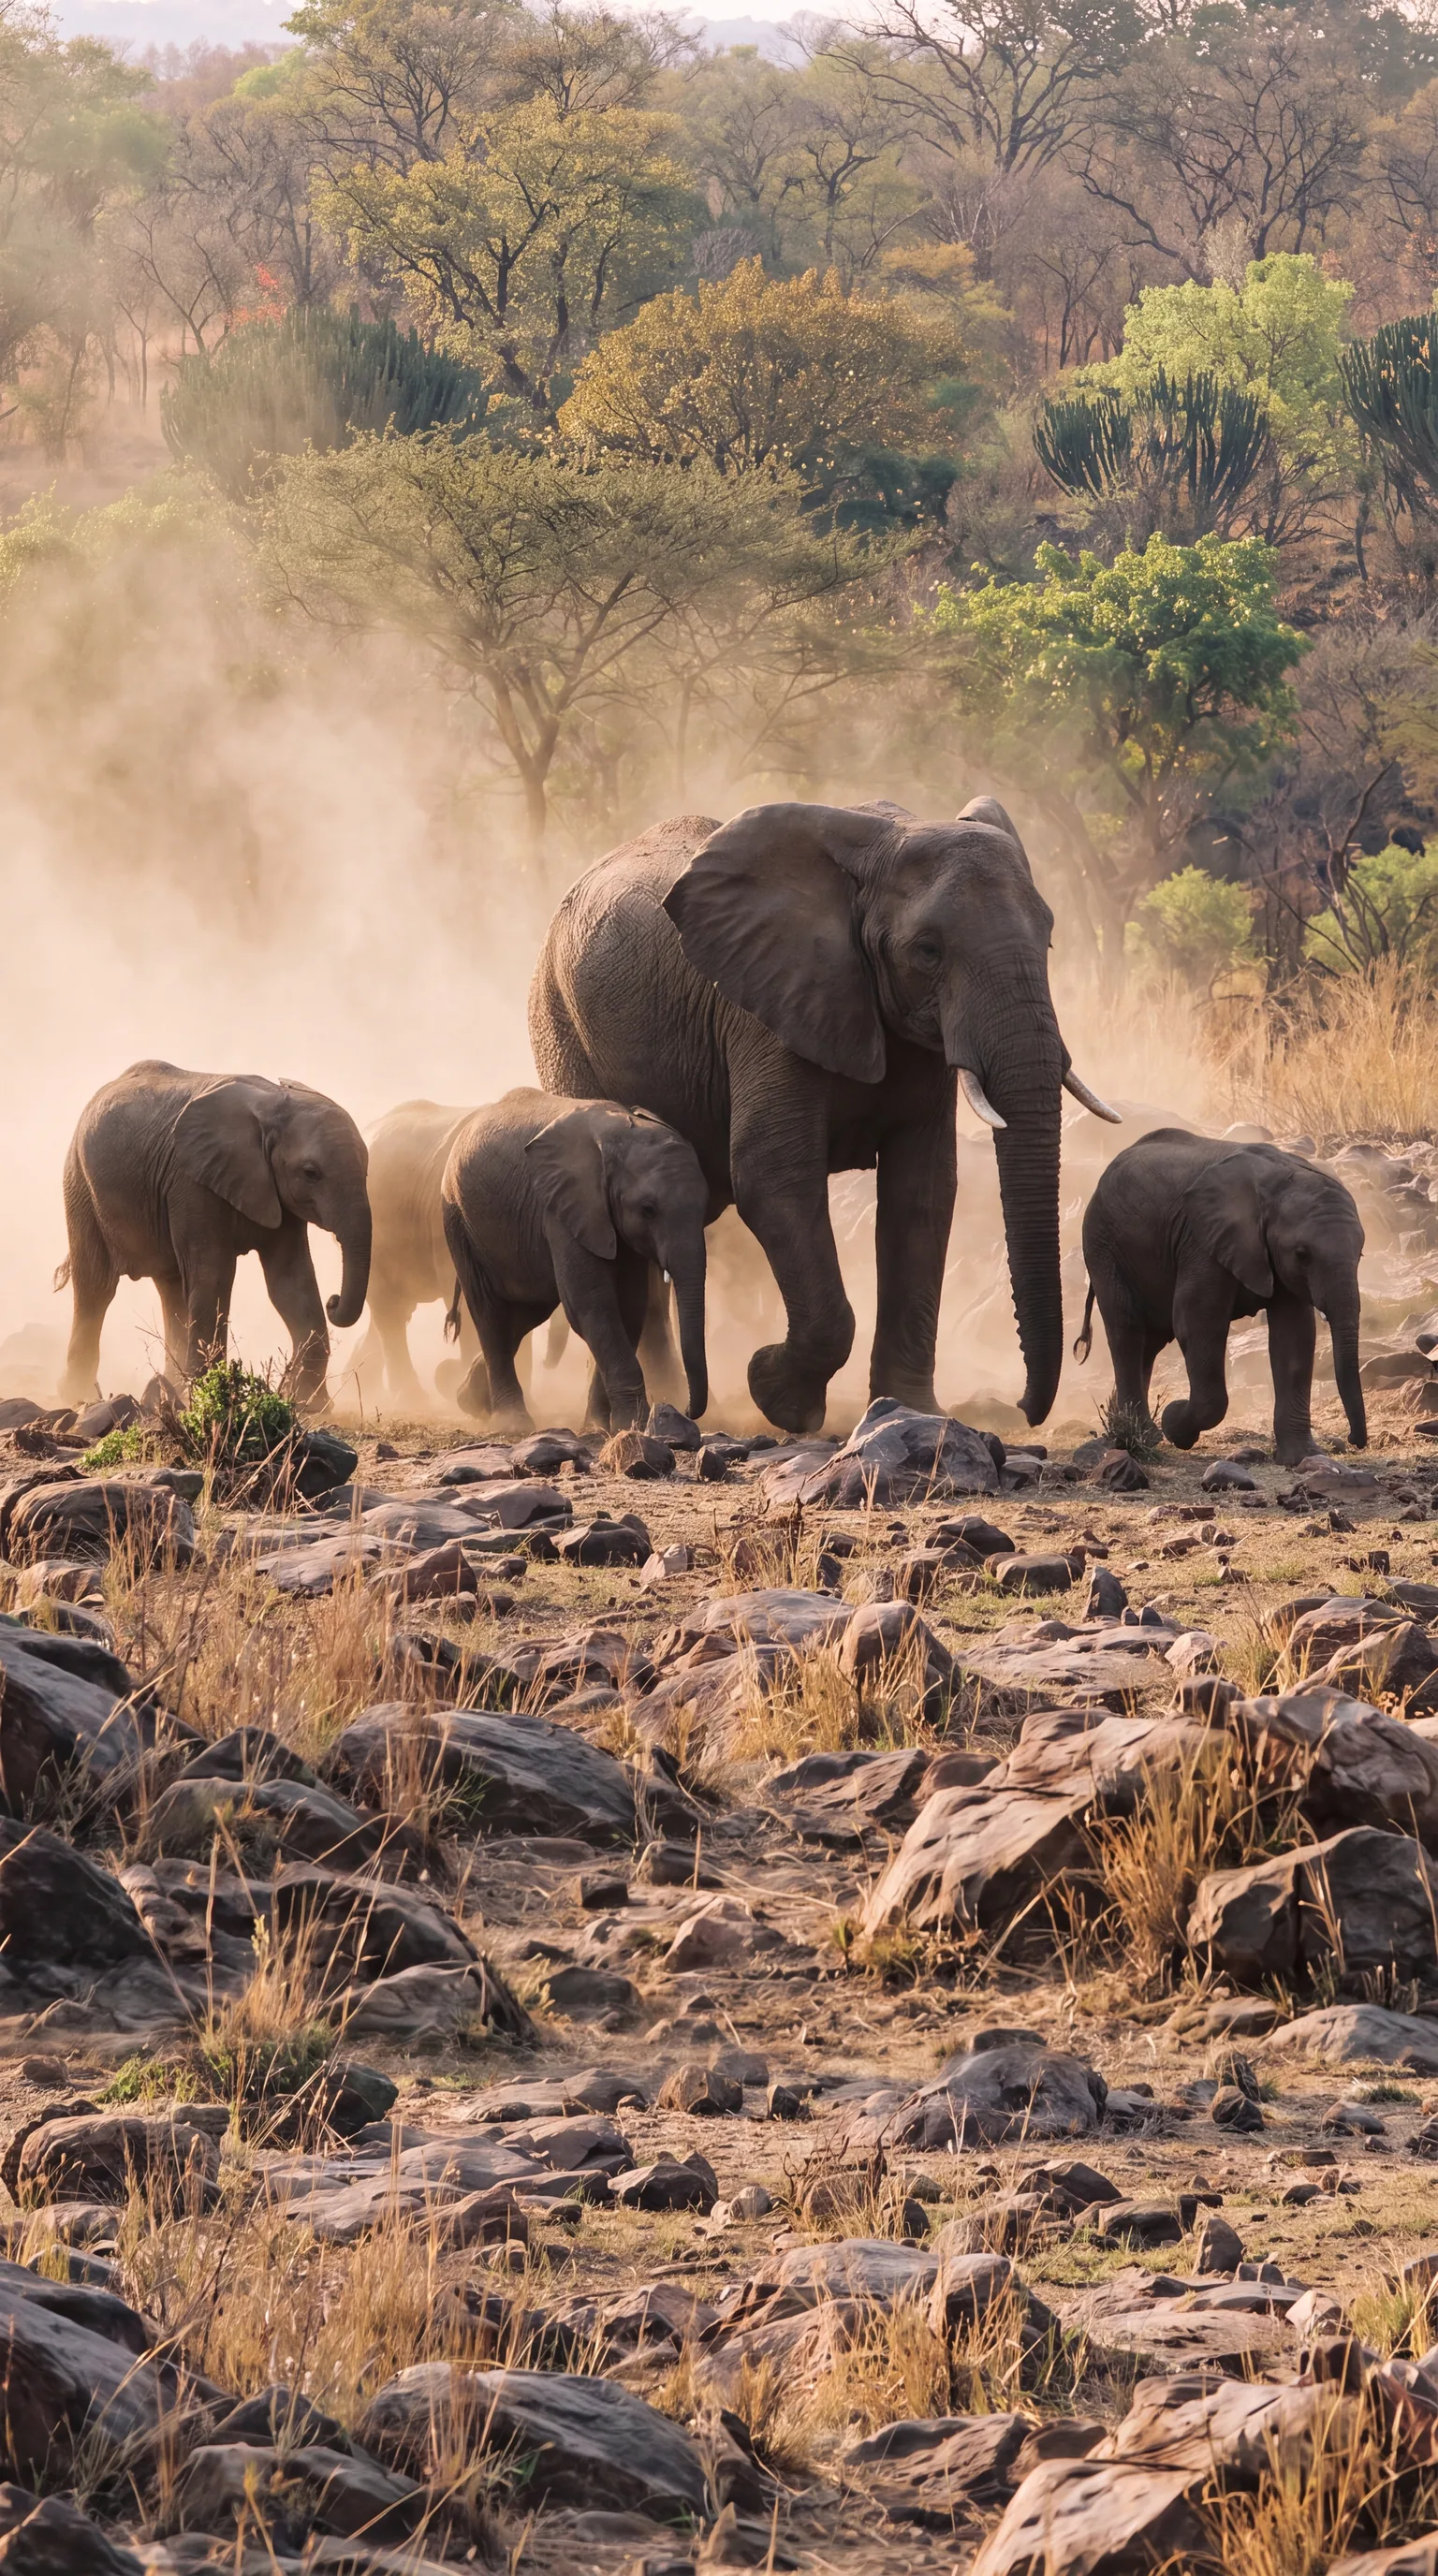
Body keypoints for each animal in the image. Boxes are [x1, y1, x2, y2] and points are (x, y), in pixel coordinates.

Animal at [58, 1061, 371, 1410]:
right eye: (311, 1173)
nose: (334, 1301)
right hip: (79, 1184)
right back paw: (79, 1396)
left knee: (171, 1287)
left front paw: (311, 1407)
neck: (274, 1106)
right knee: (95, 1288)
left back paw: (170, 1388)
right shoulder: (192, 1183)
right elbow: (214, 1276)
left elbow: (291, 1282)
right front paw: (205, 1398)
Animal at [440, 1088, 709, 1431]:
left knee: (525, 1312)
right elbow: (592, 1305)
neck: (620, 1136)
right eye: (648, 1210)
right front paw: (632, 1424)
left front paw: (600, 1427)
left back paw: (469, 1400)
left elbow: (629, 1305)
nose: (685, 1409)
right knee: (491, 1314)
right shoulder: (562, 1208)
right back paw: (512, 1423)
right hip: (458, 1220)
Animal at [529, 798, 1117, 1433]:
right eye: (927, 950)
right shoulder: (766, 1007)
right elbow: (773, 1177)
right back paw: (644, 1407)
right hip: (560, 1026)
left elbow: (925, 1191)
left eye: (1050, 939)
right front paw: (776, 1393)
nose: (1020, 1408)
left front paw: (912, 1407)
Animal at [1075, 1127, 1367, 1465]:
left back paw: (1137, 1429)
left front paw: (1301, 1458)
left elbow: (1295, 1336)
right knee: (1127, 1331)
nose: (1353, 1440)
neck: (1280, 1181)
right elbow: (1197, 1322)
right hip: (1103, 1245)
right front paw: (1174, 1421)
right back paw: (1141, 1435)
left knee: (1150, 1341)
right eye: (1302, 1254)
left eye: (1360, 1254)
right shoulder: (1201, 1241)